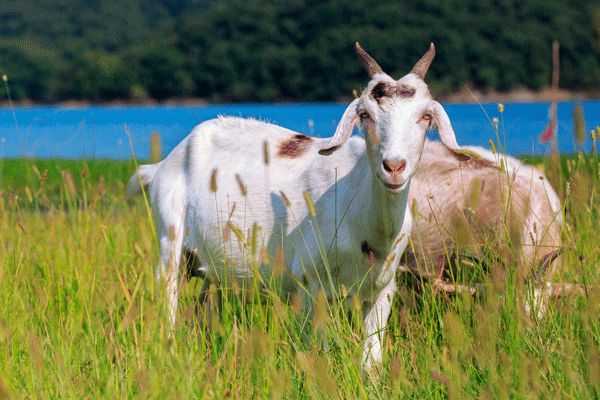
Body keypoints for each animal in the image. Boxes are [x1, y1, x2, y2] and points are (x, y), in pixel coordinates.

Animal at [127, 43, 467, 374]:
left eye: (426, 116)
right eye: (365, 115)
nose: (394, 166)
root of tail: (164, 163)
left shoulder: (382, 289)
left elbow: (371, 362)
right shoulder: (309, 284)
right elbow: (318, 351)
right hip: (169, 242)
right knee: (169, 302)